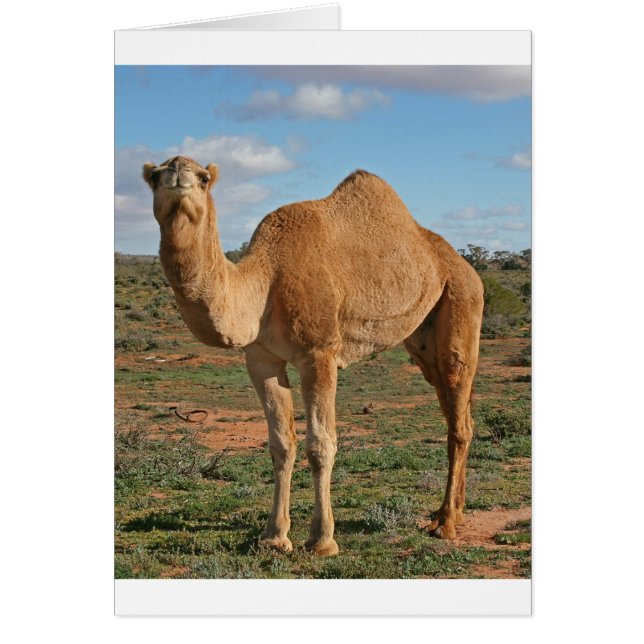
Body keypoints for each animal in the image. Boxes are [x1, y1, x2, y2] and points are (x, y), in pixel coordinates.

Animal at [142, 156, 484, 556]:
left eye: (204, 177)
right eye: (154, 176)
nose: (178, 171)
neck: (265, 282)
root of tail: (464, 265)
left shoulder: (319, 354)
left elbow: (321, 444)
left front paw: (322, 540)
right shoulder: (261, 359)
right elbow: (281, 444)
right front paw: (274, 537)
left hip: (462, 300)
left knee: (458, 411)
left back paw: (445, 524)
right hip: (423, 338)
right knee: (455, 411)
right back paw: (453, 511)